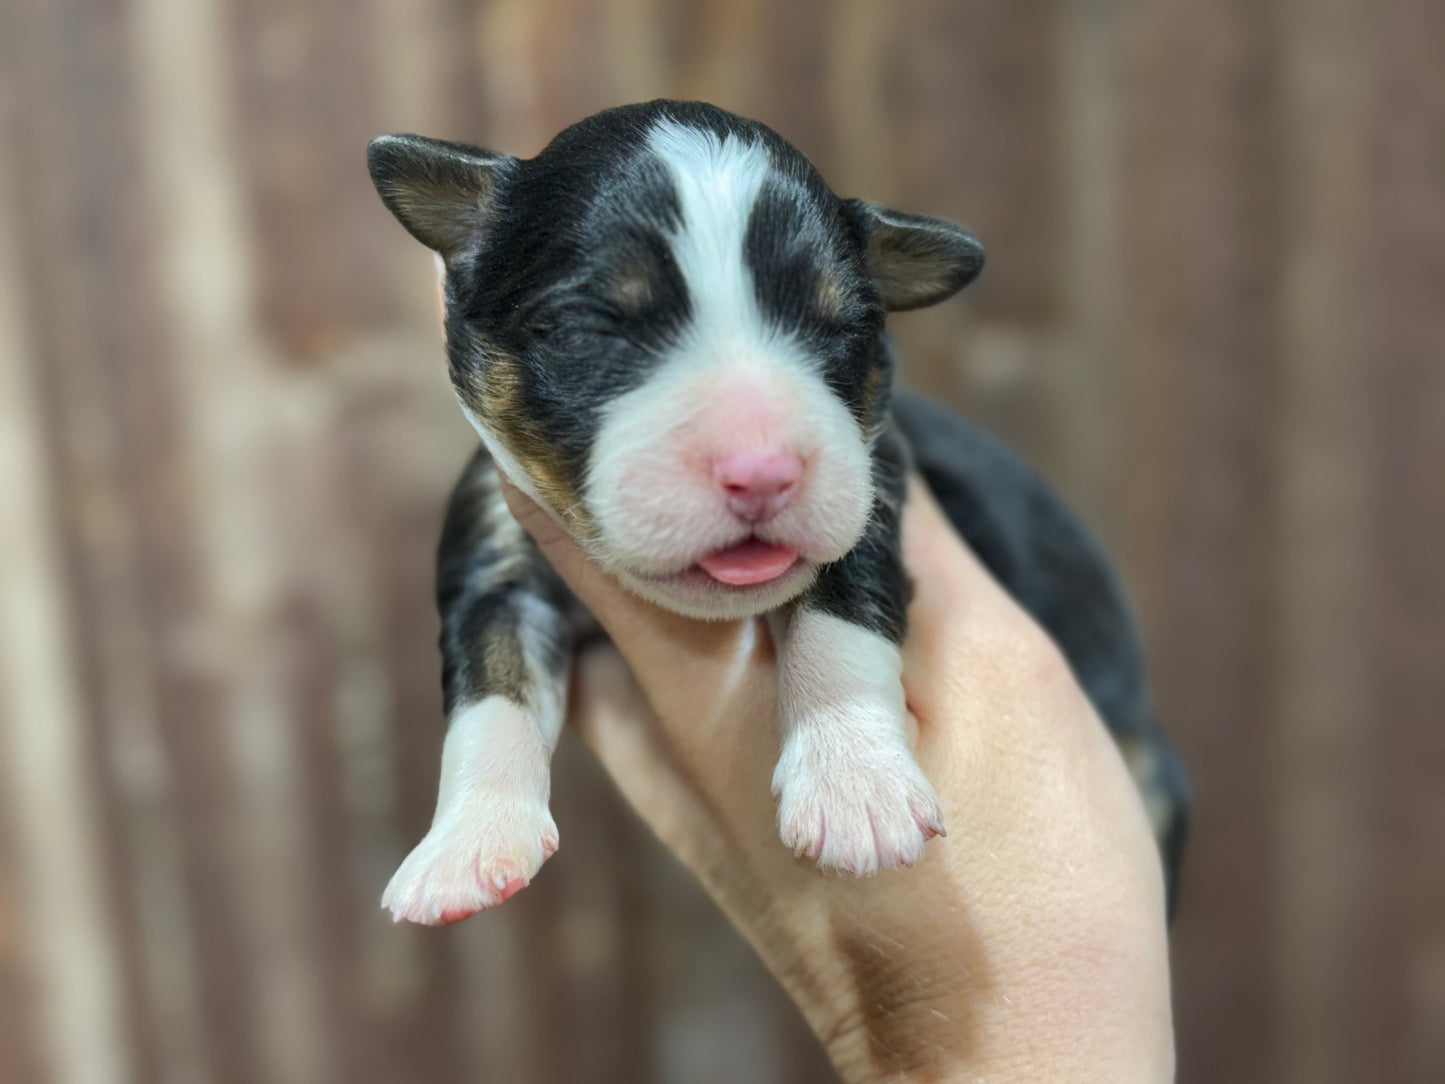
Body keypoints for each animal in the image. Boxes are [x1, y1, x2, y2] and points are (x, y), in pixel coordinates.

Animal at [367, 101, 1190, 930]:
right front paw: (466, 844)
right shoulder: (494, 545)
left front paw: (855, 785)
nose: (761, 472)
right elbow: (488, 685)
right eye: (588, 329)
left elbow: (842, 612)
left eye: (840, 329)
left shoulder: (871, 485)